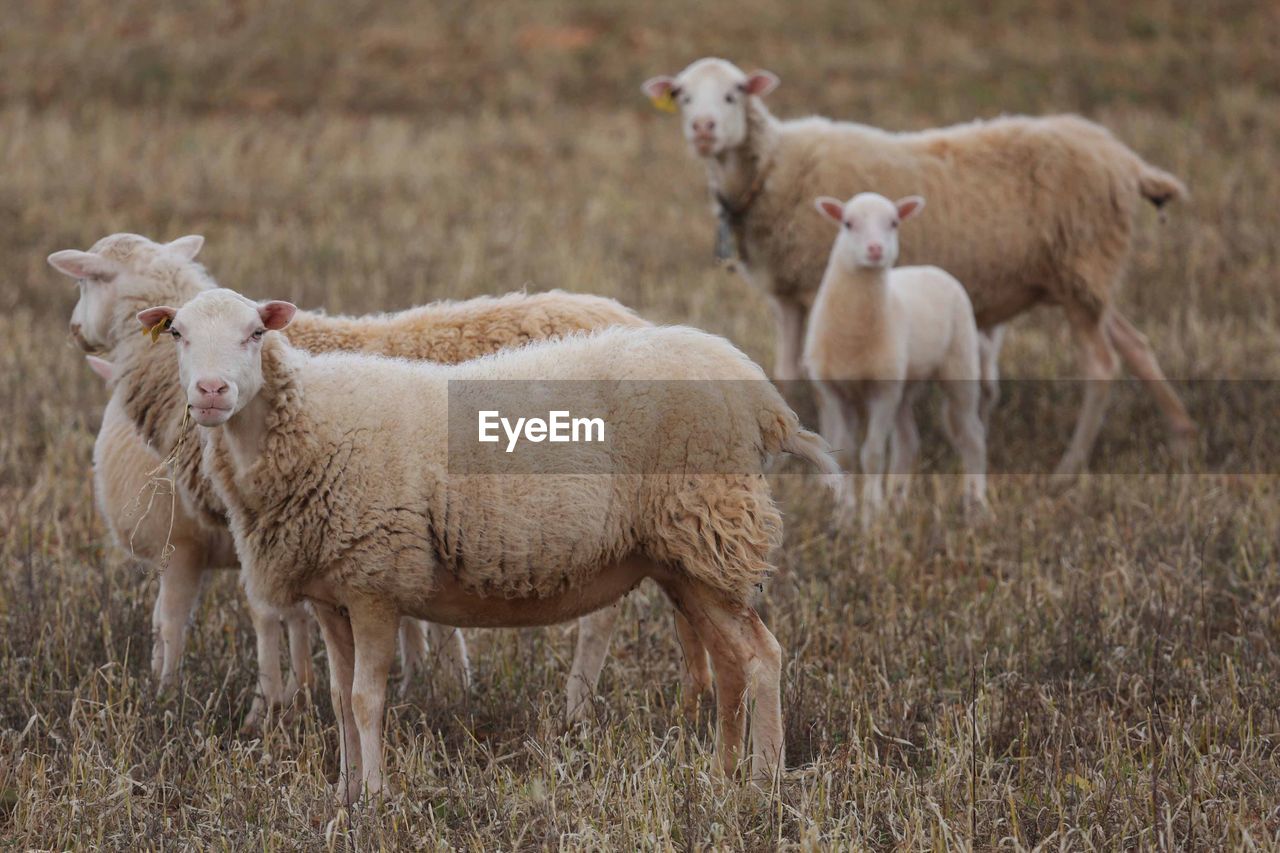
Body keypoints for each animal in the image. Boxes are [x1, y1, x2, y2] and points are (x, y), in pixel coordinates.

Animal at [49, 230, 706, 717]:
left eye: (87, 278)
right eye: (179, 331)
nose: (74, 331)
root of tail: (639, 323)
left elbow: (259, 614)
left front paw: (264, 708)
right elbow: (312, 615)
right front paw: (360, 690)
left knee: (603, 615)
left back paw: (577, 706)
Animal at [137, 285, 839, 799]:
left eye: (256, 333)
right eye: (178, 335)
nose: (211, 393)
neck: (309, 424)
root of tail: (762, 398)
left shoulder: (373, 580)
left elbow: (366, 699)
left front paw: (376, 801)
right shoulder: (331, 592)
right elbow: (338, 700)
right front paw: (345, 796)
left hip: (712, 525)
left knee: (762, 657)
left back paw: (763, 784)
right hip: (686, 558)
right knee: (730, 661)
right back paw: (722, 776)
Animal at [645, 58, 1192, 484]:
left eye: (734, 93)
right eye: (683, 96)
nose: (703, 129)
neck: (771, 170)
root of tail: (1123, 157)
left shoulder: (817, 289)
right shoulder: (788, 297)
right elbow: (785, 373)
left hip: (1082, 268)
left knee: (1101, 365)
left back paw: (1069, 468)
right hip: (1088, 274)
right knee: (1137, 345)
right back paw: (1180, 437)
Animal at [808, 194, 988, 525]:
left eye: (893, 223)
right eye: (847, 223)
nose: (875, 249)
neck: (852, 336)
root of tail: (932, 268)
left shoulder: (883, 389)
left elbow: (872, 454)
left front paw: (869, 517)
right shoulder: (835, 390)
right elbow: (847, 453)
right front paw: (844, 516)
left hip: (958, 365)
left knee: (973, 437)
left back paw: (978, 507)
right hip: (905, 384)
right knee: (907, 442)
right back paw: (897, 503)